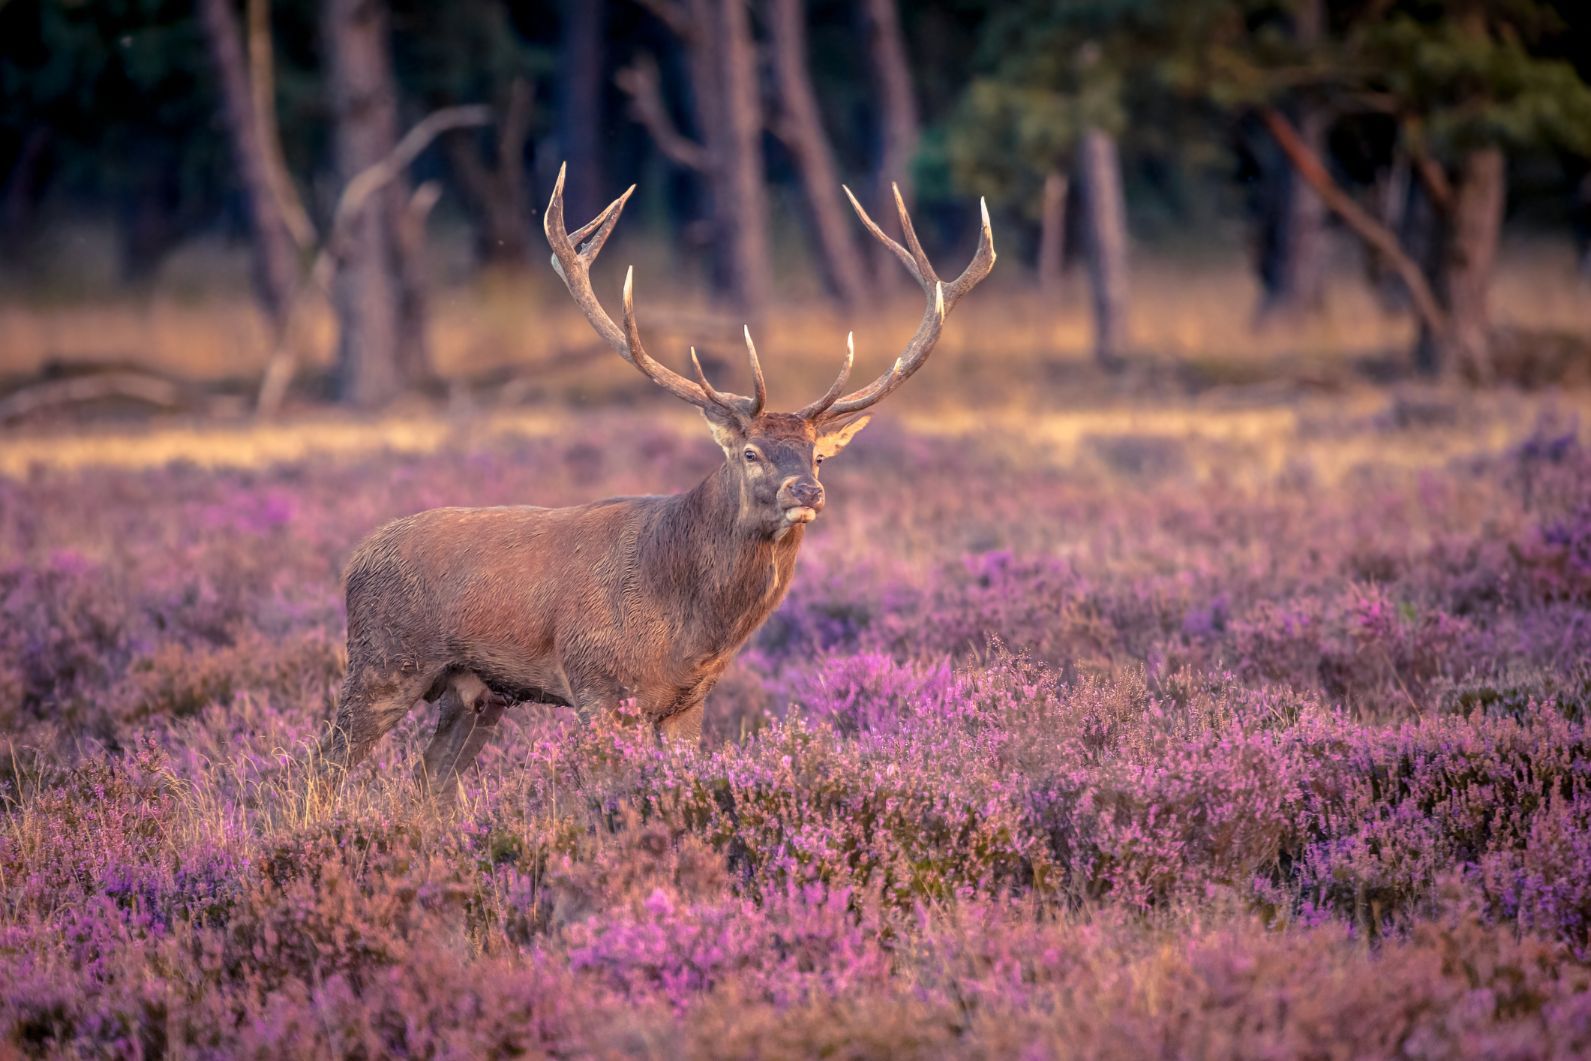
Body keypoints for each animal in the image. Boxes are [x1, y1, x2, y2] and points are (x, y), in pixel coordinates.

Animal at [322, 167, 992, 795]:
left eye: (818, 457)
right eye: (750, 453)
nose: (806, 491)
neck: (686, 628)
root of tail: (356, 557)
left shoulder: (689, 703)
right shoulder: (597, 685)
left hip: (476, 692)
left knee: (428, 782)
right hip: (383, 660)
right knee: (323, 763)